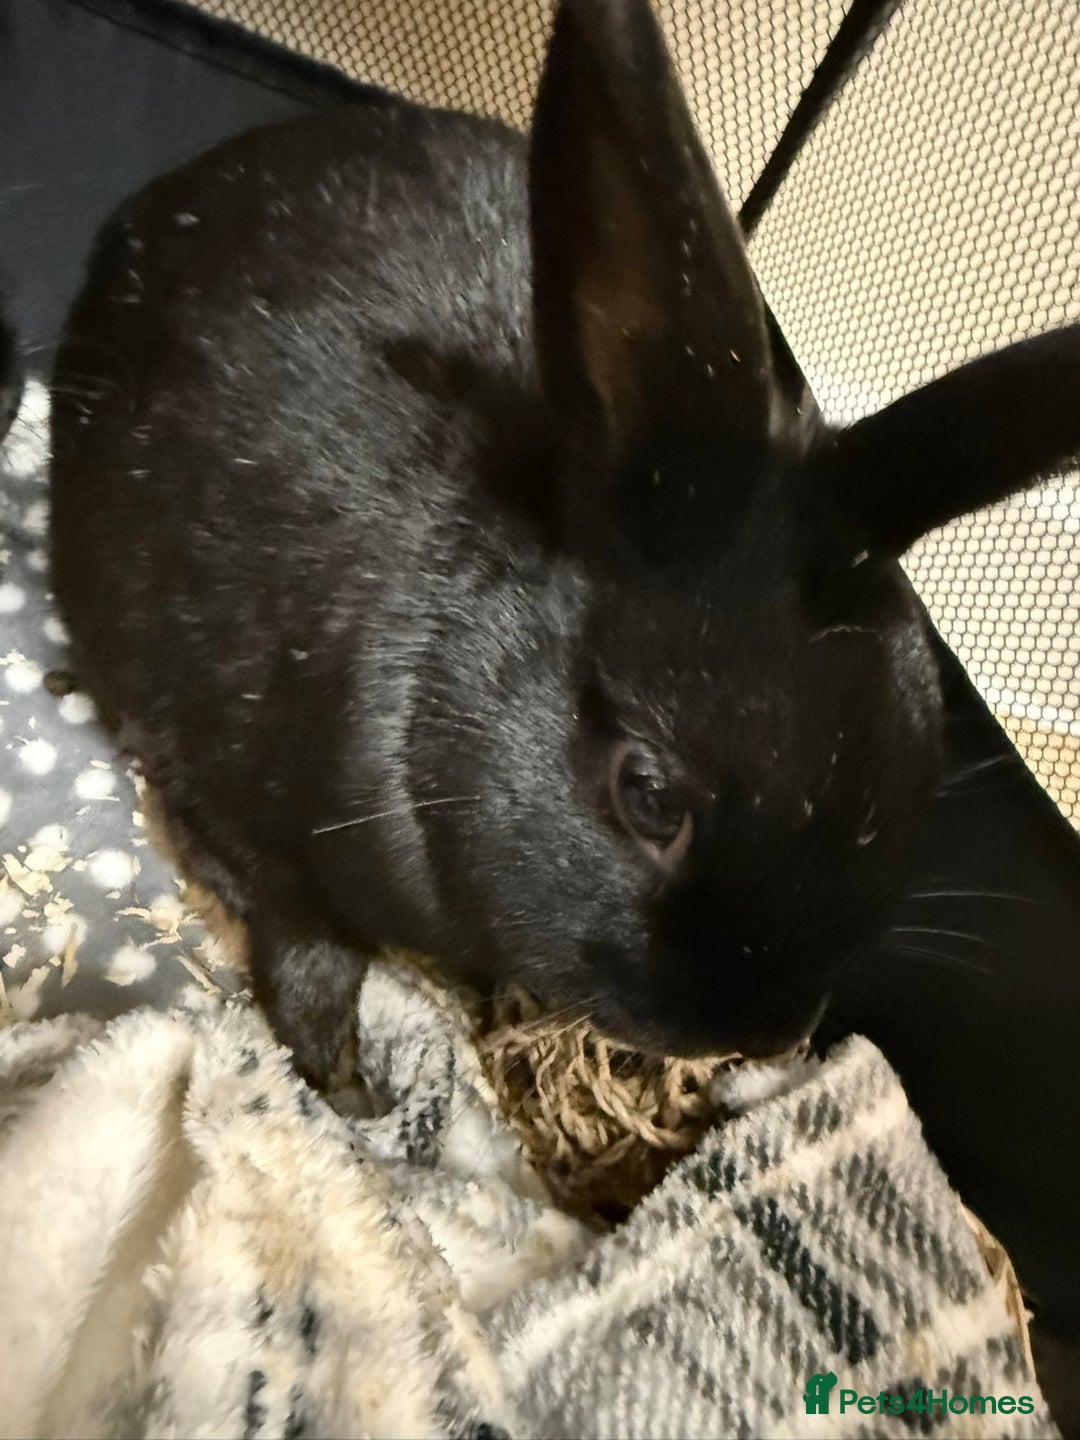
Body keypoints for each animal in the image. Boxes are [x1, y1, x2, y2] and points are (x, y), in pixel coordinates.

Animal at [48, 0, 1080, 1084]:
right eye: (650, 796)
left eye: (919, 786)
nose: (762, 1032)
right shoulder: (240, 800)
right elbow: (300, 930)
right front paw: (339, 1071)